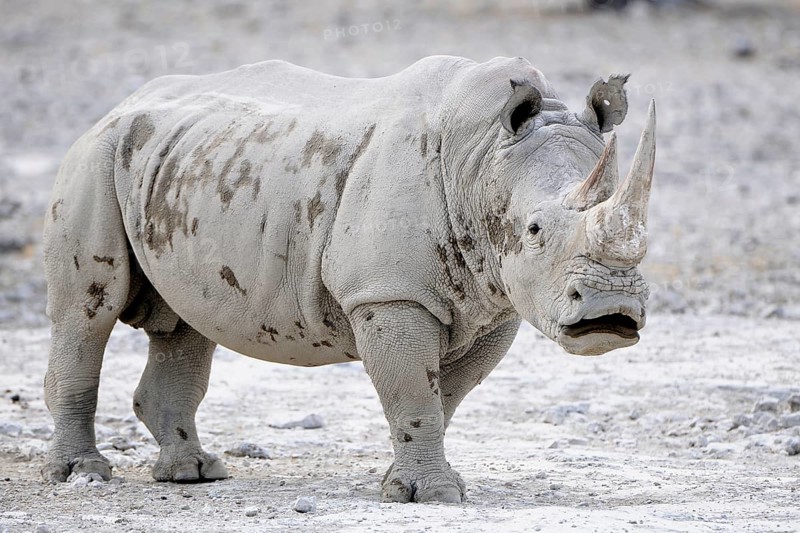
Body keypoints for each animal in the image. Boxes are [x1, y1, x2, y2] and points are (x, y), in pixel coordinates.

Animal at [42, 55, 655, 503]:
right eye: (533, 229)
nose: (611, 311)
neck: (484, 159)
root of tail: (120, 106)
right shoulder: (389, 294)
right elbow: (414, 389)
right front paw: (431, 496)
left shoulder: (494, 305)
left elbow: (444, 395)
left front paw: (411, 483)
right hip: (94, 158)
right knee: (87, 312)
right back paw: (84, 474)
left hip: (181, 167)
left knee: (188, 323)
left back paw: (194, 473)